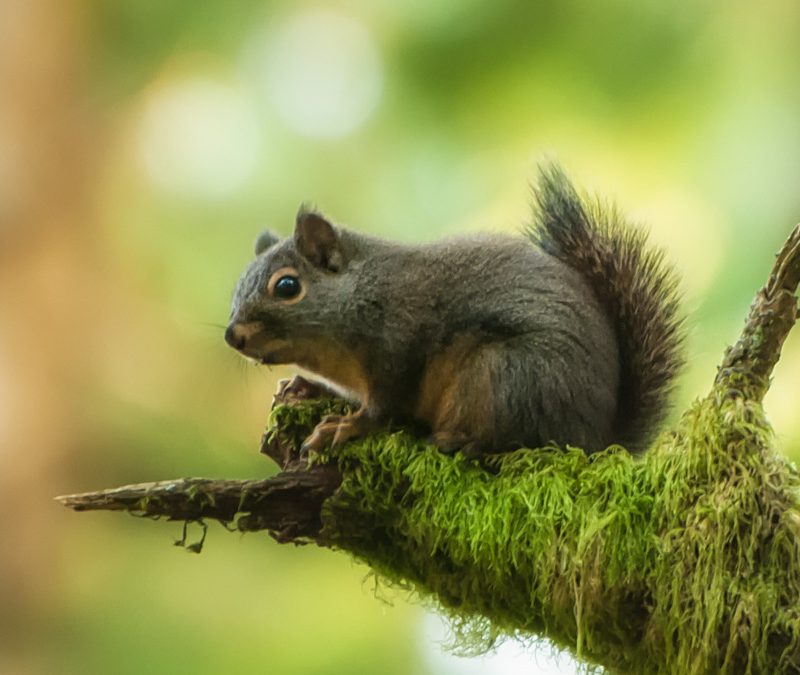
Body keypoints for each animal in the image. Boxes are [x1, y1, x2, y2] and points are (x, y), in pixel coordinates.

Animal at [225, 164, 684, 456]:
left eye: (287, 286)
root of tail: (597, 439)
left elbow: (384, 406)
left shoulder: (400, 347)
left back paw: (463, 441)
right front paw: (306, 387)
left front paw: (348, 425)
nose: (233, 335)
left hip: (505, 377)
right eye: (238, 283)